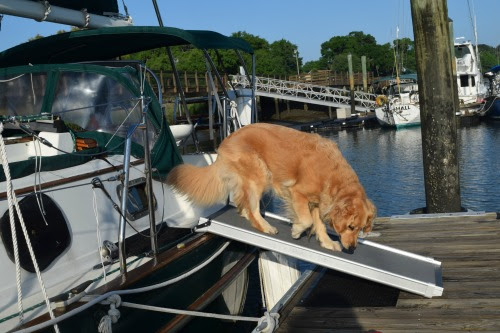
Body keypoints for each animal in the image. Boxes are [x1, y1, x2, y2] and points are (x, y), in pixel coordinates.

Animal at [167, 123, 376, 250]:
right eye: (350, 226)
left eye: (360, 228)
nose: (352, 248)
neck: (333, 176)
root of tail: (225, 141)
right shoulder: (297, 193)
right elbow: (307, 220)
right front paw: (297, 230)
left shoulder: (318, 202)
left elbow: (319, 224)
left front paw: (327, 243)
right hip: (259, 174)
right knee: (252, 208)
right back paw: (265, 226)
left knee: (243, 204)